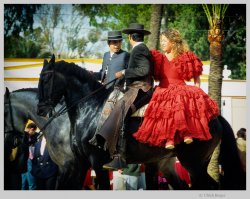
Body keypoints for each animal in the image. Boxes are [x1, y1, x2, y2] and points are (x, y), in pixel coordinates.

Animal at [37, 55, 246, 190]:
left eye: (46, 79)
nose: (40, 110)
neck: (90, 110)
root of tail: (215, 116)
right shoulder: (80, 164)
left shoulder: (97, 162)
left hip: (193, 163)